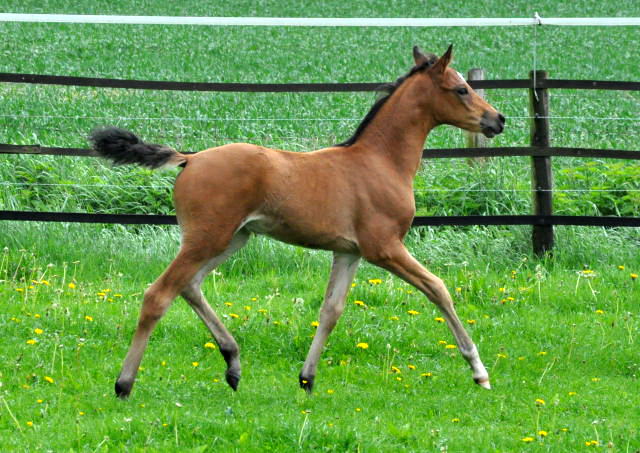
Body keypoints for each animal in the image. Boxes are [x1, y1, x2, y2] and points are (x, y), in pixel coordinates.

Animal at [90, 46, 504, 398]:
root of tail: (189, 158)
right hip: (208, 238)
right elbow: (438, 288)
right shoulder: (384, 247)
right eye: (462, 89)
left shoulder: (349, 252)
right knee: (158, 295)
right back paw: (124, 384)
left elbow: (331, 311)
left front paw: (307, 378)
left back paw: (232, 363)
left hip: (231, 238)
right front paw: (479, 371)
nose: (497, 119)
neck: (380, 161)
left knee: (189, 286)